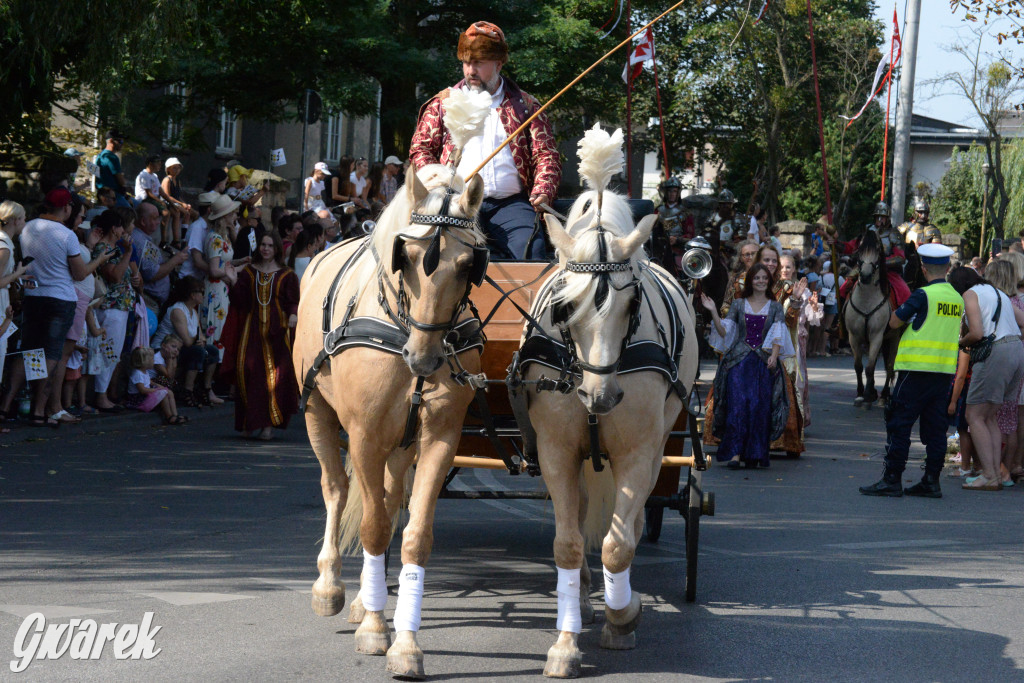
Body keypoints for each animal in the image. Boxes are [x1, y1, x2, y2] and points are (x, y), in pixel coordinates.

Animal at [292, 163, 487, 679]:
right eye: (409, 256)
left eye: (469, 265)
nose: (424, 359)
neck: (400, 329)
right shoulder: (363, 434)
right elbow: (374, 527)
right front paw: (377, 630)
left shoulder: (439, 438)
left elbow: (414, 536)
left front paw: (405, 643)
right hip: (319, 413)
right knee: (337, 488)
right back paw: (331, 586)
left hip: (402, 443)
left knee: (388, 492)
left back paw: (366, 596)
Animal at [843, 231, 901, 411]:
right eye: (860, 252)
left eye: (878, 253)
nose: (866, 276)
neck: (867, 300)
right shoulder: (854, 336)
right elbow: (859, 366)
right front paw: (860, 394)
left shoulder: (877, 336)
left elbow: (869, 368)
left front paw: (868, 396)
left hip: (894, 337)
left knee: (889, 366)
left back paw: (883, 396)